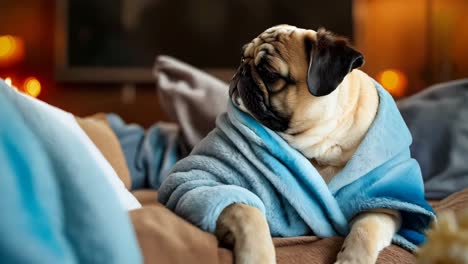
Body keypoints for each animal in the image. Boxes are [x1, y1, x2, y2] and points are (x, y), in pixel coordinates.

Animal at [159, 81, 436, 251]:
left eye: (270, 75)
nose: (242, 71)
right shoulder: (200, 181)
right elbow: (248, 214)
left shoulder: (383, 205)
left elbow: (363, 233)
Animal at [218, 24, 400, 264]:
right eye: (242, 58)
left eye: (269, 73)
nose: (242, 70)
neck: (323, 143)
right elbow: (247, 214)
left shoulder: (384, 208)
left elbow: (365, 230)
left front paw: (352, 259)